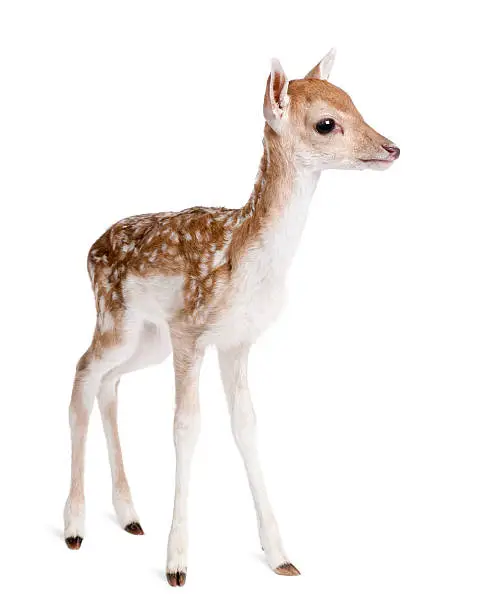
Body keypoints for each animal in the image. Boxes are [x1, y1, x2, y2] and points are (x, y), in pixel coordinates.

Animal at [64, 50, 402, 584]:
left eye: (355, 102)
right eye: (327, 123)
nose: (391, 147)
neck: (244, 259)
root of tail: (91, 248)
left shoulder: (237, 340)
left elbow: (246, 425)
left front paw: (280, 555)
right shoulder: (190, 331)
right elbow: (186, 428)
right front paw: (177, 564)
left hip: (147, 338)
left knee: (108, 384)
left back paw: (130, 515)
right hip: (115, 317)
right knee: (81, 371)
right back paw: (76, 527)